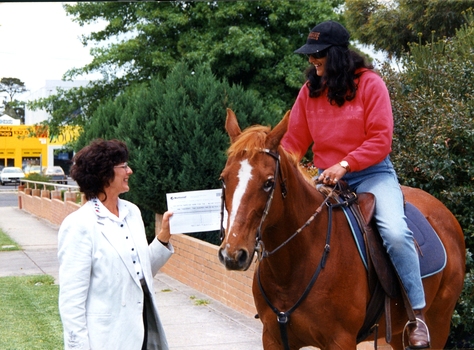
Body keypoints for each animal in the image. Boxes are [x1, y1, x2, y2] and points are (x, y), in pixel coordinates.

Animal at [219, 108, 466, 348]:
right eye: (223, 179)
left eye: (269, 182)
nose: (233, 254)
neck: (296, 263)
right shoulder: (273, 338)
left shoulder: (340, 340)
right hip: (397, 333)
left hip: (439, 322)